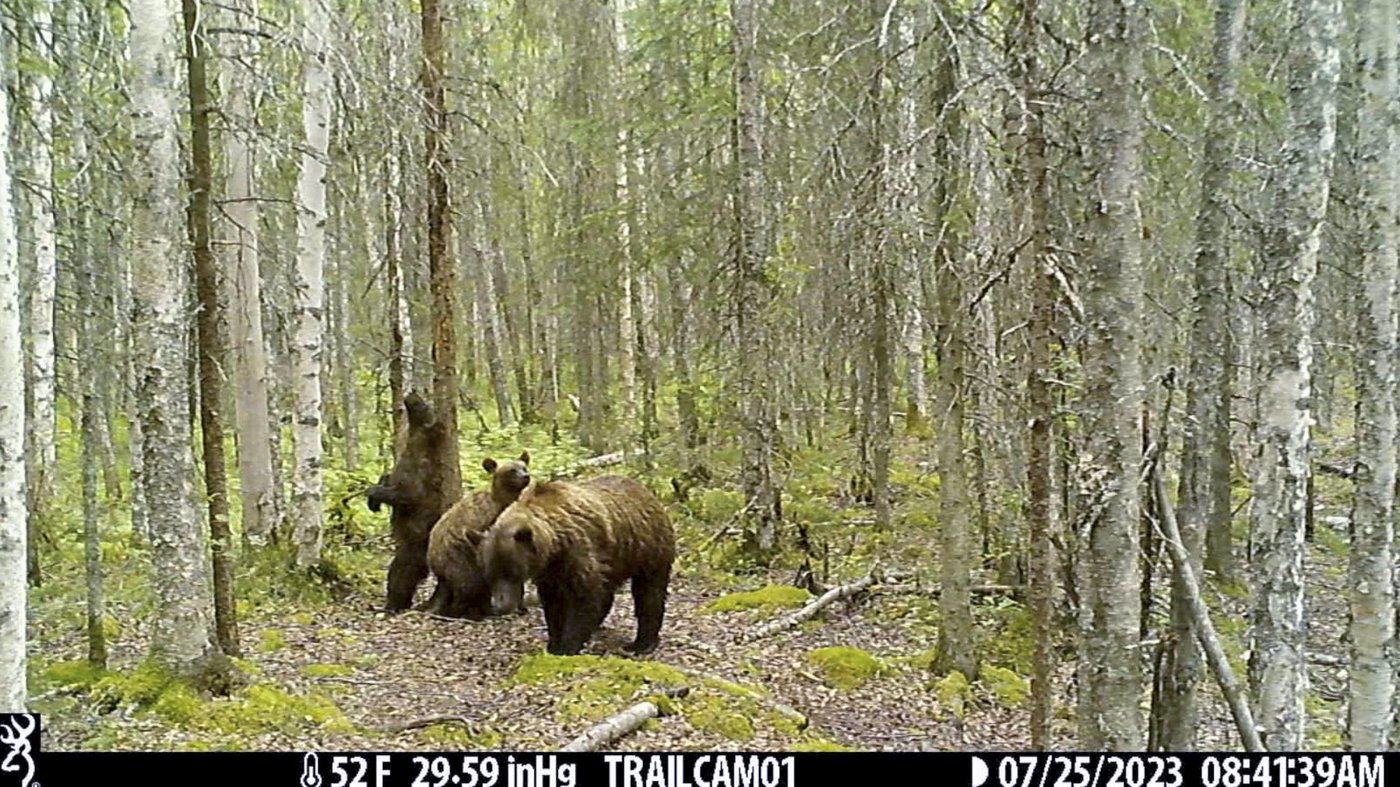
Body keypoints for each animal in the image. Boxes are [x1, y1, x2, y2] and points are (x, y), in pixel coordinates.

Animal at [366, 392, 461, 613]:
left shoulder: (418, 476)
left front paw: (373, 493)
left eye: (426, 405)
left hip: (415, 547)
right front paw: (373, 500)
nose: (413, 393)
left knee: (402, 572)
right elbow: (387, 477)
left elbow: (406, 495)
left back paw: (393, 604)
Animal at [425, 452, 533, 619]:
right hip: (457, 558)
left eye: (524, 467)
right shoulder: (489, 526)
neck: (502, 502)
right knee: (468, 584)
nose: (526, 477)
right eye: (511, 470)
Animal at [478, 475, 676, 655]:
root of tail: (646, 491)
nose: (500, 606)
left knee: (649, 593)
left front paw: (567, 646)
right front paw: (554, 643)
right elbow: (554, 604)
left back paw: (641, 644)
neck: (554, 546)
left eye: (512, 572)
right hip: (616, 559)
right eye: (490, 574)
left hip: (646, 548)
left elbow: (583, 598)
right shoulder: (551, 571)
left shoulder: (577, 552)